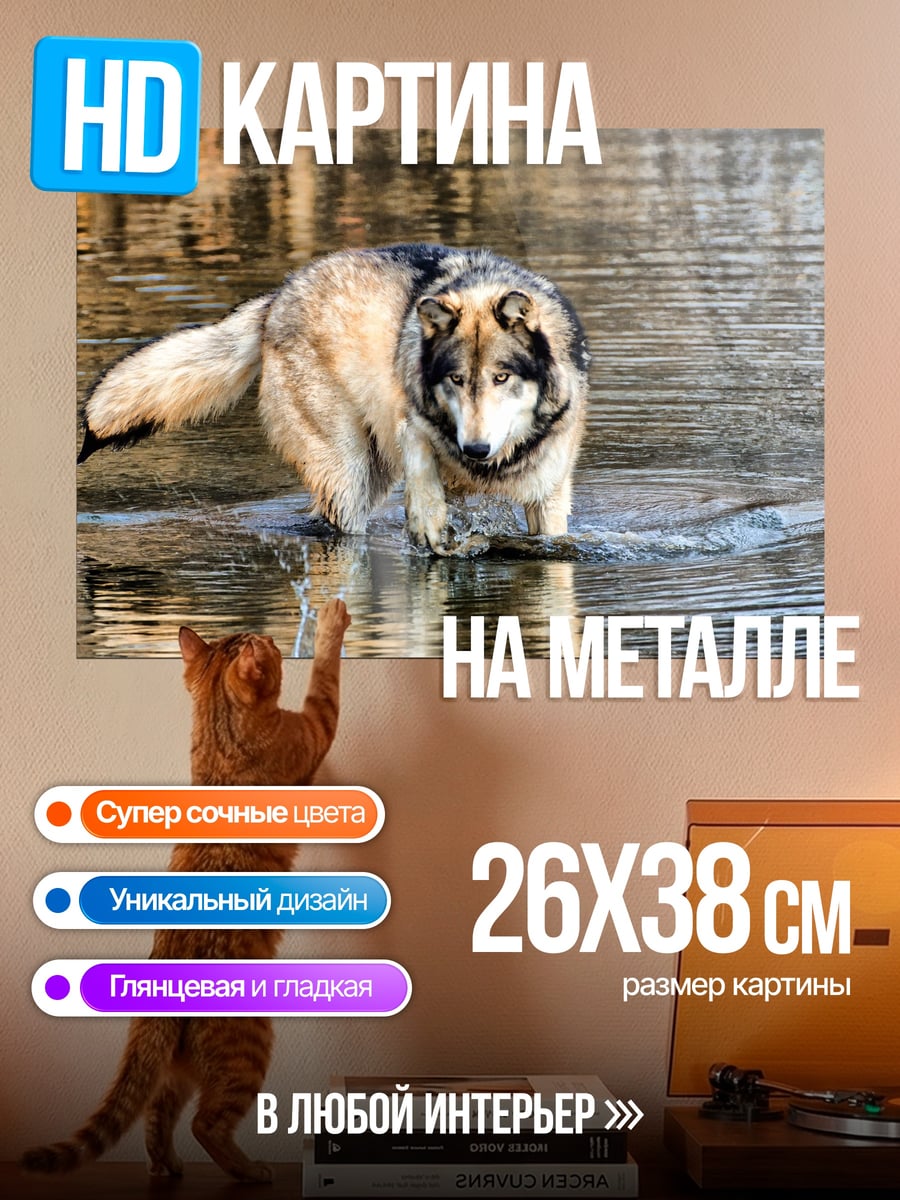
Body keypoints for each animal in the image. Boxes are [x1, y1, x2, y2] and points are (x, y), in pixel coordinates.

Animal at [78, 244, 590, 552]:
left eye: (501, 377)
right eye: (457, 380)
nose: (476, 449)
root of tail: (277, 296)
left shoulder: (548, 497)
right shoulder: (410, 420)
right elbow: (422, 462)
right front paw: (427, 522)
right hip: (350, 473)